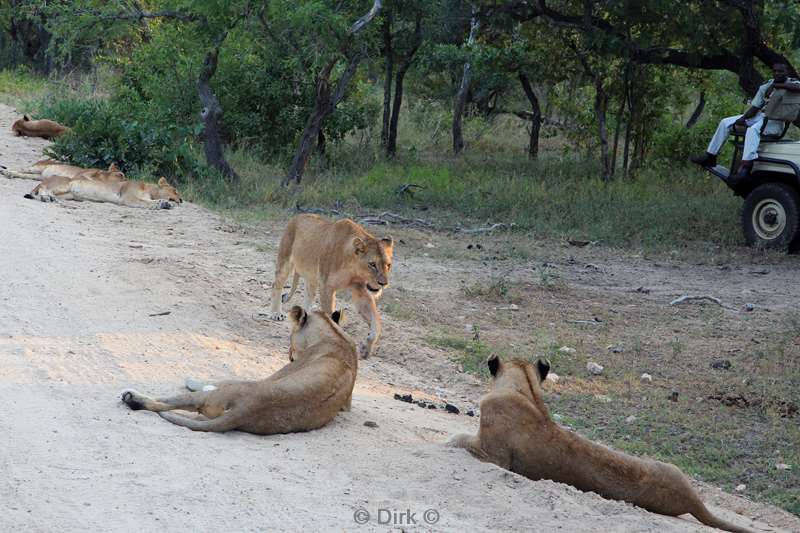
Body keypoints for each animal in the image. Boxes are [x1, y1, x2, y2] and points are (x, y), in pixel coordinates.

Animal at [119, 306, 356, 434]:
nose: (288, 353)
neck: (335, 337)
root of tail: (247, 409)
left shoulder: (277, 373)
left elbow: (220, 379)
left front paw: (193, 381)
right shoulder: (347, 406)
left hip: (223, 394)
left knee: (167, 401)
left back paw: (132, 397)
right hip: (209, 415)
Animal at [268, 212, 394, 358]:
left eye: (388, 265)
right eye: (372, 264)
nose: (383, 283)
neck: (352, 266)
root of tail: (299, 215)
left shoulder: (361, 291)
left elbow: (376, 323)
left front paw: (366, 349)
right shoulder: (327, 287)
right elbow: (331, 319)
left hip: (312, 277)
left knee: (308, 296)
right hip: (285, 260)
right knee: (276, 285)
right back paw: (276, 313)